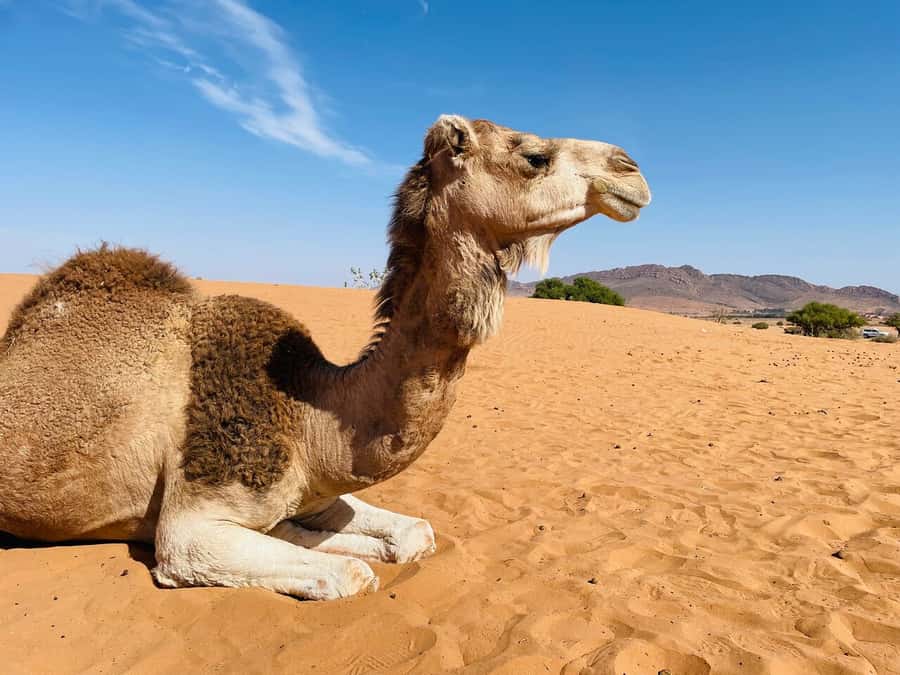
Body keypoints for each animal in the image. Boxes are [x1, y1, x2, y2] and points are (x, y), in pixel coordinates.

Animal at [0, 115, 650, 599]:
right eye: (534, 156)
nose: (631, 169)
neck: (305, 411)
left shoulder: (315, 485)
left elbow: (412, 534)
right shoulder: (191, 528)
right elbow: (351, 574)